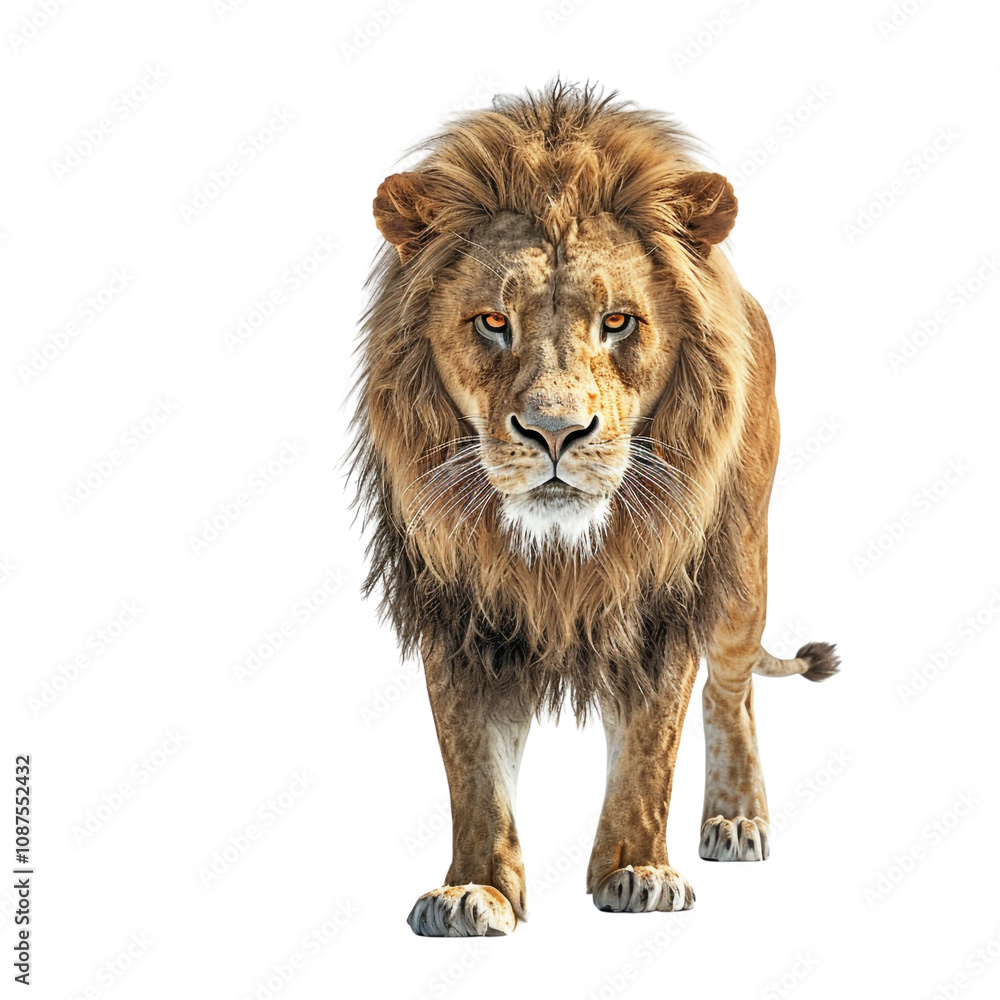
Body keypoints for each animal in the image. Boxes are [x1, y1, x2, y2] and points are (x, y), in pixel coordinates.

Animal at [350, 81, 839, 936]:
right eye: (492, 321)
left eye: (618, 323)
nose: (554, 432)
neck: (559, 555)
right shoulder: (460, 613)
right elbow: (474, 771)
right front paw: (472, 890)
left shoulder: (663, 601)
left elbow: (649, 750)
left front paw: (637, 872)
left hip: (743, 567)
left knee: (732, 687)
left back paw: (737, 819)